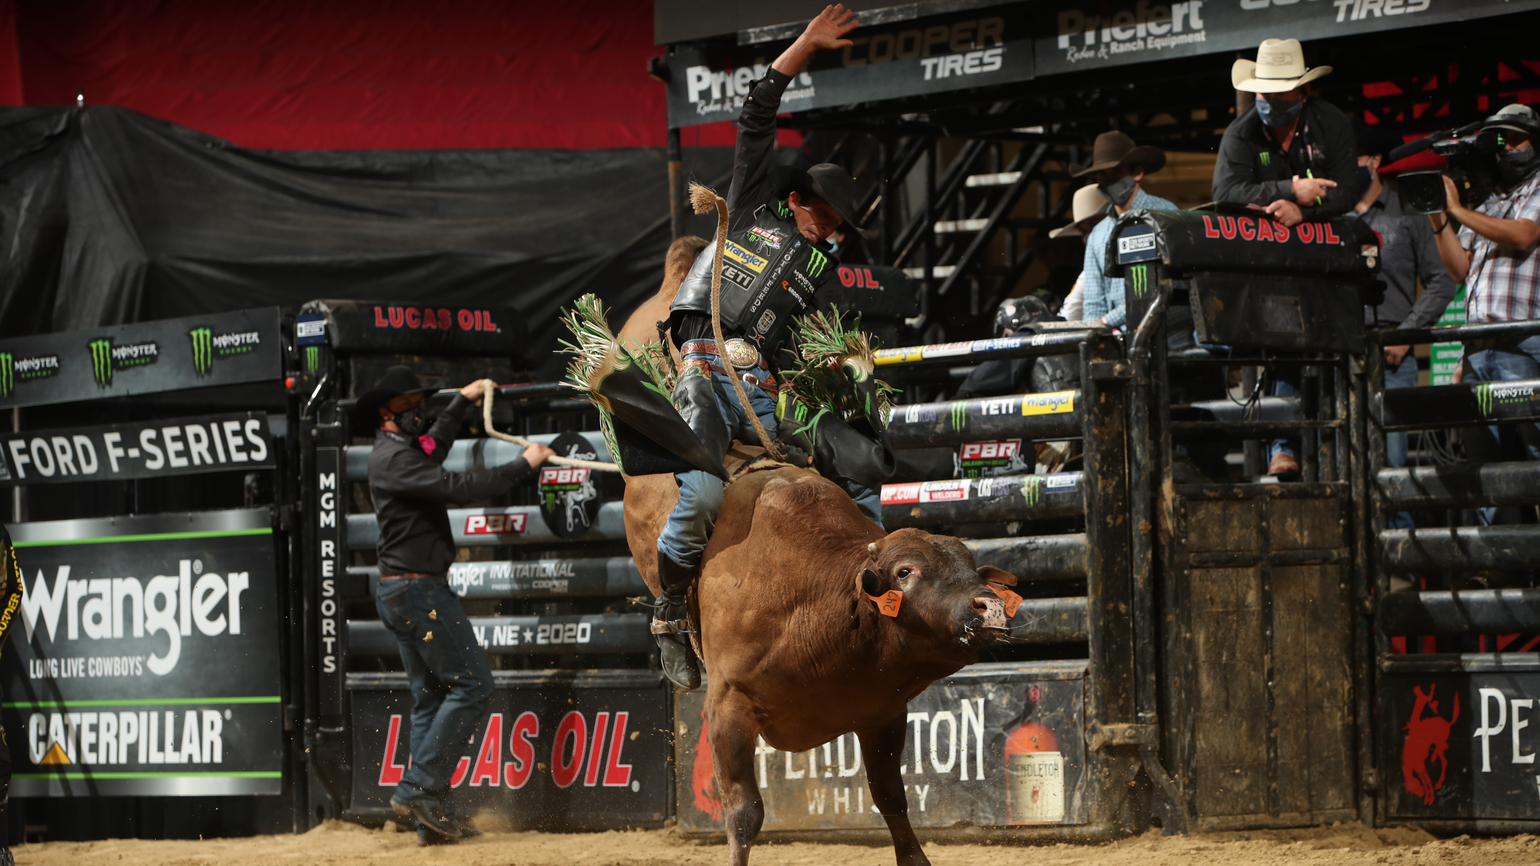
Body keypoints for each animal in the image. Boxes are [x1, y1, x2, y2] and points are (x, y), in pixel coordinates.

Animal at [619, 465, 1016, 862]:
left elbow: (890, 796)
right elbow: (744, 812)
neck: (813, 605)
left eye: (971, 567)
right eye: (905, 571)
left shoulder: (884, 713)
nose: (991, 605)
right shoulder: (726, 706)